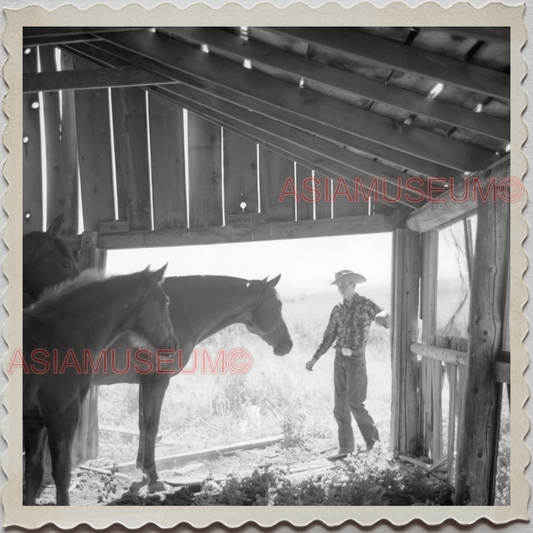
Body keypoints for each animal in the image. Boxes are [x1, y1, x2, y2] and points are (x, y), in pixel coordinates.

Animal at [23, 266, 177, 502]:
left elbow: (33, 474)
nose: (173, 344)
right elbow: (61, 474)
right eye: (165, 302)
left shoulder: (34, 424)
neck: (60, 335)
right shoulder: (62, 416)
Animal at [100, 274, 290, 490]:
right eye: (279, 304)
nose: (288, 344)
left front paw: (142, 470)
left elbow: (142, 424)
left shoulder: (144, 382)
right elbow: (152, 425)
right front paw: (153, 476)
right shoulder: (157, 380)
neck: (178, 312)